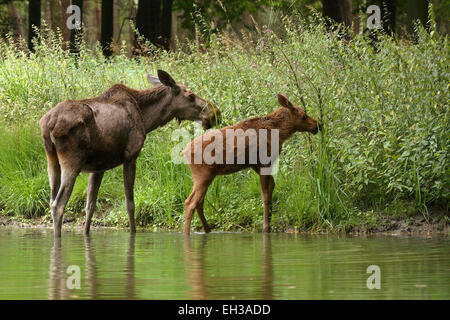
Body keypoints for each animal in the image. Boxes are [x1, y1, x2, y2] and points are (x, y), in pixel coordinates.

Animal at [41, 70, 221, 238]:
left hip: (51, 161)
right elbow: (130, 204)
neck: (147, 119)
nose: (215, 113)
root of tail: (48, 124)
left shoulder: (98, 167)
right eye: (191, 95)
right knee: (58, 204)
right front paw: (133, 233)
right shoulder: (131, 156)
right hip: (72, 161)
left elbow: (90, 205)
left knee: (51, 201)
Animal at [181, 92, 322, 235]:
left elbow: (271, 187)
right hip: (203, 175)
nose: (318, 125)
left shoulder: (257, 166)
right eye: (304, 115)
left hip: (207, 175)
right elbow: (265, 195)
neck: (280, 133)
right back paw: (187, 233)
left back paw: (207, 230)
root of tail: (184, 151)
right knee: (190, 203)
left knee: (199, 202)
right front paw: (266, 228)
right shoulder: (264, 162)